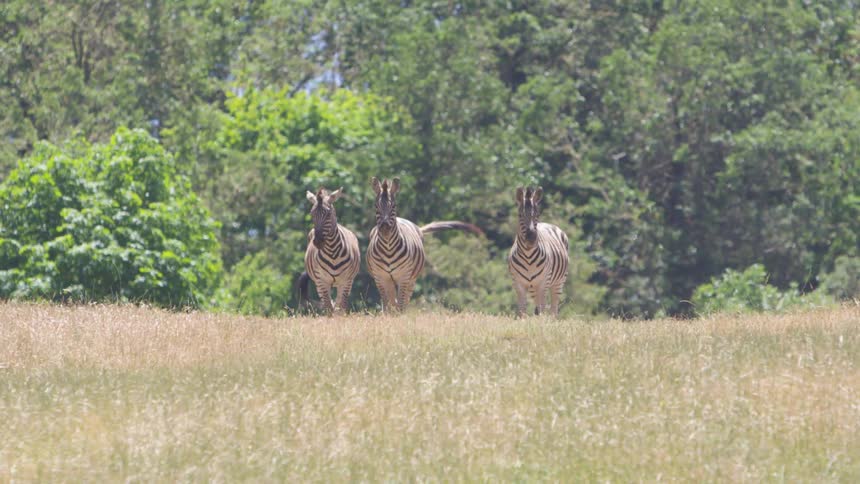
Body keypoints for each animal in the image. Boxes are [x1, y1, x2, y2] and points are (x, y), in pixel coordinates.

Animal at [366, 177, 483, 313]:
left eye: (394, 206)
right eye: (376, 206)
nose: (385, 229)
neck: (388, 248)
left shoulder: (404, 276)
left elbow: (400, 304)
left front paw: (399, 317)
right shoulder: (380, 277)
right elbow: (387, 305)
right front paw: (388, 315)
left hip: (411, 279)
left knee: (404, 300)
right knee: (392, 300)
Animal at [509, 186, 569, 317]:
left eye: (537, 214)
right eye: (520, 215)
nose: (531, 238)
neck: (528, 256)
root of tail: (547, 224)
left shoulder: (543, 283)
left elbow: (542, 308)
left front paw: (541, 322)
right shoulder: (518, 284)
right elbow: (522, 310)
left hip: (558, 282)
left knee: (553, 308)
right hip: (533, 287)